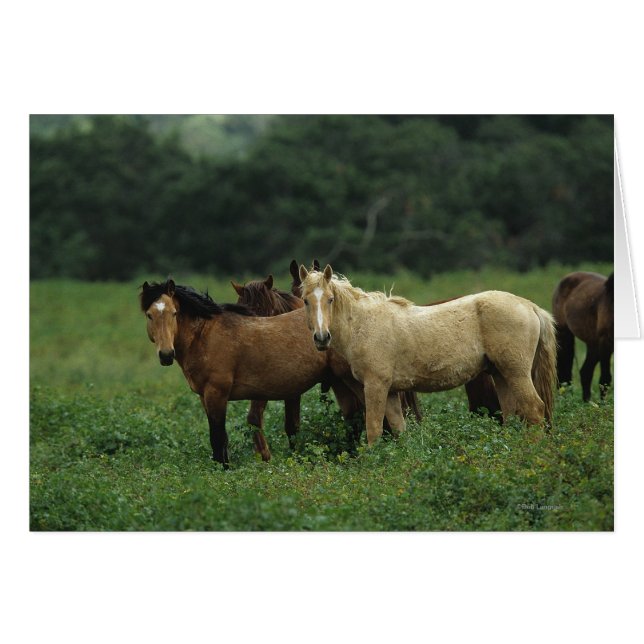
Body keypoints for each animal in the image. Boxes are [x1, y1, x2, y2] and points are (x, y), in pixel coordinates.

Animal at [140, 279, 381, 467]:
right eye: (150, 315)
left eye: (174, 313)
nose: (166, 354)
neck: (205, 336)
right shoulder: (204, 397)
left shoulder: (217, 394)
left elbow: (218, 438)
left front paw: (224, 470)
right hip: (340, 382)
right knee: (353, 418)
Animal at [299, 264, 557, 446]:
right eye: (305, 301)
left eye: (330, 299)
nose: (322, 338)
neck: (364, 324)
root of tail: (529, 306)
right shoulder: (391, 392)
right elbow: (399, 430)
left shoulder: (375, 386)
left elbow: (373, 430)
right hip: (500, 375)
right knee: (511, 415)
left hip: (516, 373)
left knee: (534, 409)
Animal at [552, 271, 614, 401]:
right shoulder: (606, 341)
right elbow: (605, 378)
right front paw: (603, 404)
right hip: (564, 334)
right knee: (565, 370)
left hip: (593, 343)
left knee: (585, 372)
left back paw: (587, 402)